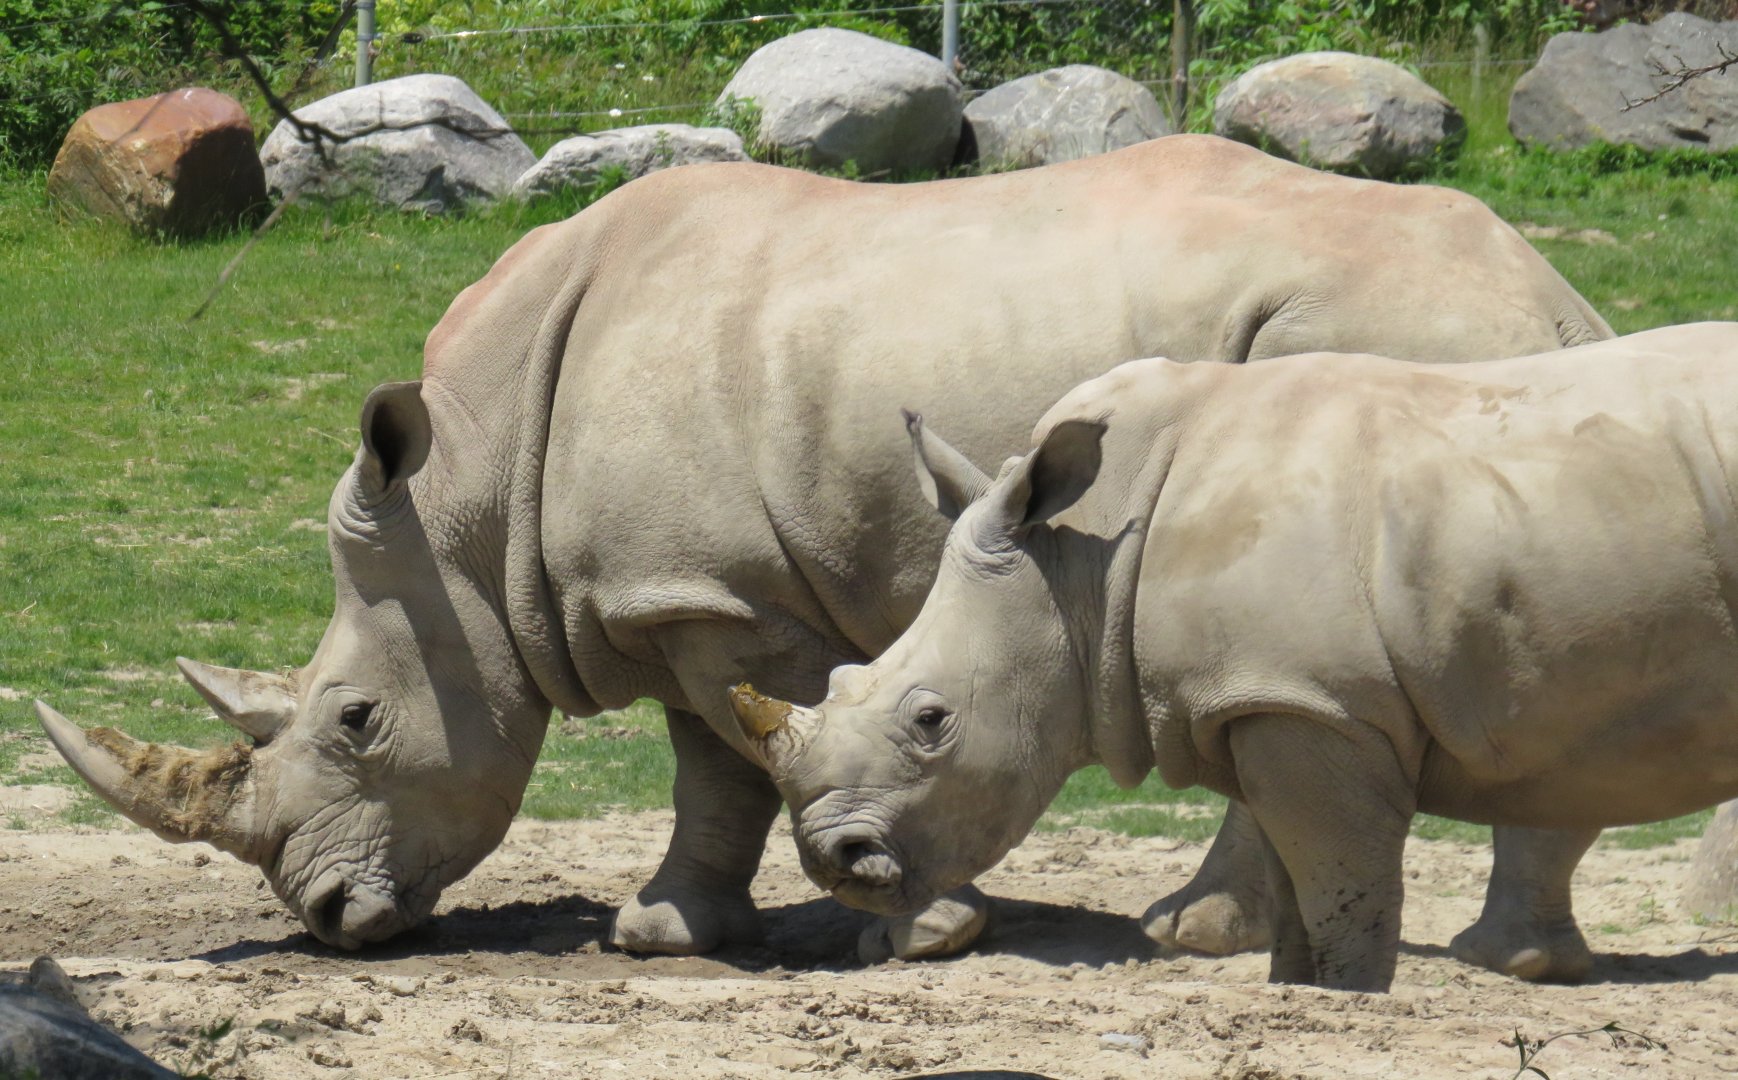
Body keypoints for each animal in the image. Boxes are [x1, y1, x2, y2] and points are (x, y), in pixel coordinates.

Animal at [36, 134, 1612, 965]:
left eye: (356, 721)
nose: (322, 915)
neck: (469, 508)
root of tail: (1552, 296)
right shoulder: (686, 591)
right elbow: (719, 758)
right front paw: (687, 929)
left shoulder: (721, 594)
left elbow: (740, 751)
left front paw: (886, 932)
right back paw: (1495, 961)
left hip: (1380, 335)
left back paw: (1187, 937)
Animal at [731, 322, 1738, 992]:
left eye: (931, 720)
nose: (832, 858)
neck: (1083, 566)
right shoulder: (1265, 699)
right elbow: (1299, 884)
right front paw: (1295, 992)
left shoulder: (1316, 704)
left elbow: (1343, 888)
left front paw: (1349, 997)